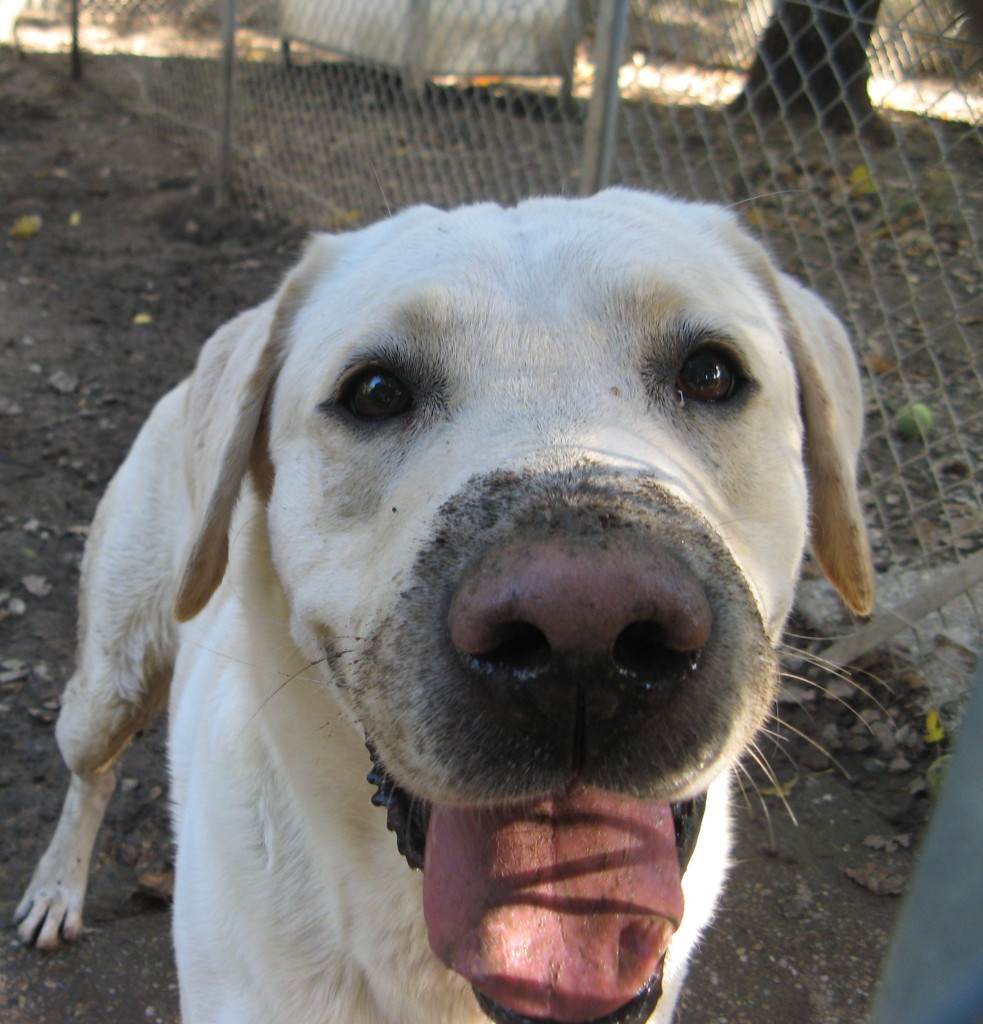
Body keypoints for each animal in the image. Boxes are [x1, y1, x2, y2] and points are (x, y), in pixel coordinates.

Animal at [17, 186, 876, 1024]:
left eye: (709, 374)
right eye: (373, 392)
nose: (583, 632)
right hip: (110, 683)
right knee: (90, 775)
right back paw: (56, 887)